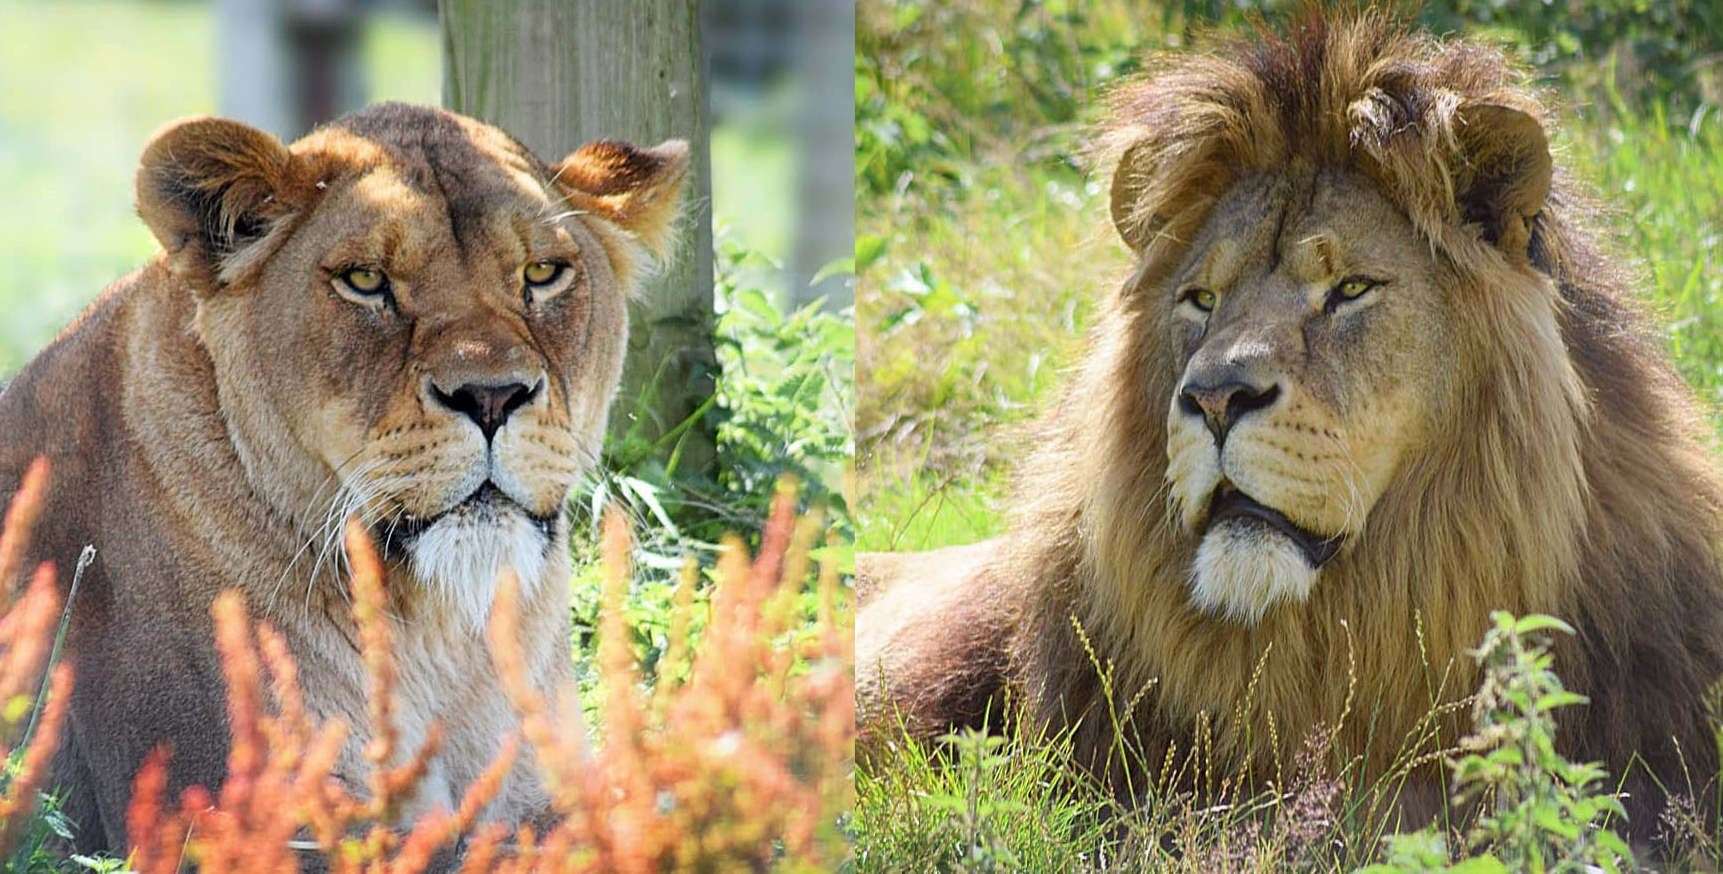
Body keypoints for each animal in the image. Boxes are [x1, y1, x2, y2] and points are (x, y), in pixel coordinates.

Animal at [0, 102, 685, 855]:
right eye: (363, 281)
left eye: (542, 273)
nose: (492, 397)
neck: (445, 637)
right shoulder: (238, 822)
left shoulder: (542, 797)